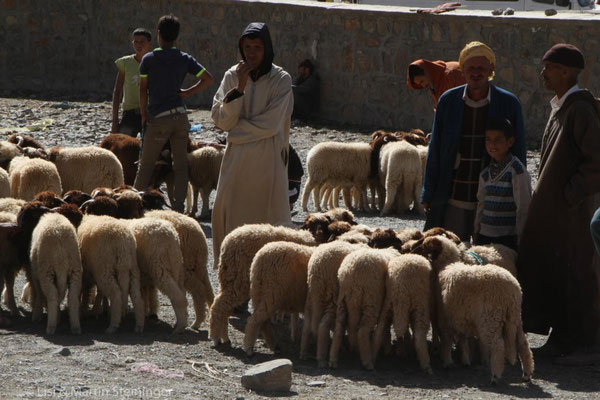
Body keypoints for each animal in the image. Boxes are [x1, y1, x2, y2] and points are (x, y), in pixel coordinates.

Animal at [300, 239, 366, 368]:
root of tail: (317, 265)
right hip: (332, 295)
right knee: (323, 325)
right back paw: (323, 360)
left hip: (312, 296)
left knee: (308, 323)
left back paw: (304, 353)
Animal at [412, 236, 536, 382]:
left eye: (424, 246)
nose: (411, 251)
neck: (446, 266)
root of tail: (513, 290)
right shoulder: (460, 314)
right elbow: (463, 336)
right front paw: (465, 359)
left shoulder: (445, 316)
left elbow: (447, 338)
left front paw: (447, 362)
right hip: (515, 316)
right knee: (523, 344)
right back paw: (527, 374)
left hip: (490, 318)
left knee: (498, 345)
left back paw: (495, 375)